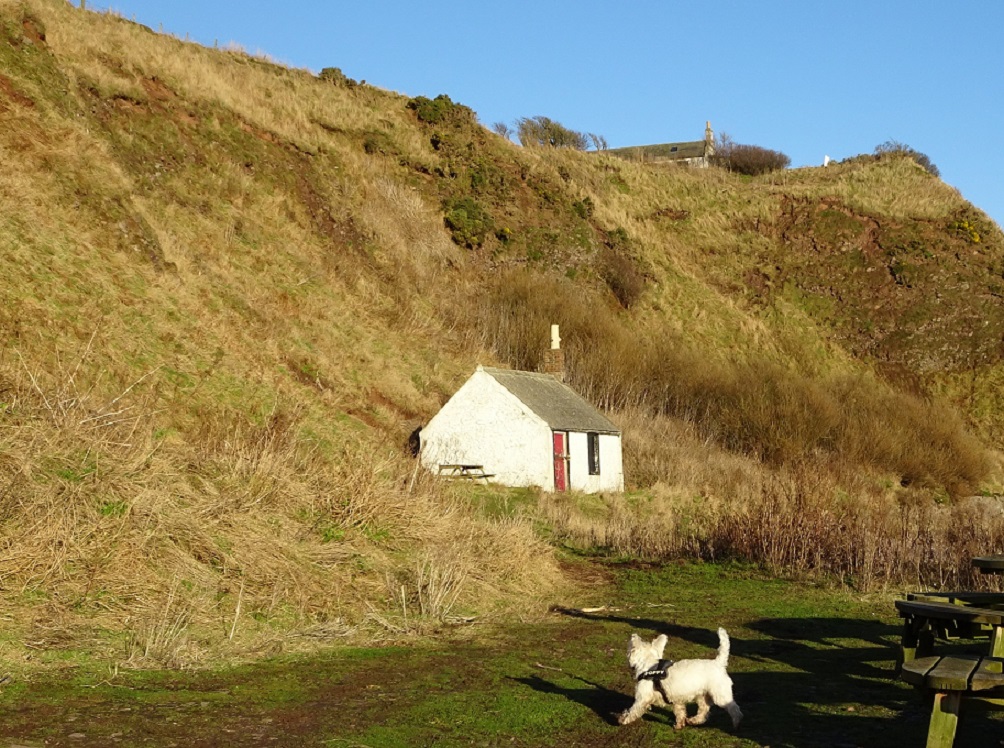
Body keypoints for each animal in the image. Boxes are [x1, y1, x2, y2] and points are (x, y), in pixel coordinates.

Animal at [614, 622, 742, 730]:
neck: (649, 666)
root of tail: (718, 662)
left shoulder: (642, 698)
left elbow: (633, 710)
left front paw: (623, 719)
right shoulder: (676, 700)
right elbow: (680, 712)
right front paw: (680, 724)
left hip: (720, 695)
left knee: (735, 709)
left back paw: (736, 724)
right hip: (702, 696)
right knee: (704, 711)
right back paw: (693, 720)